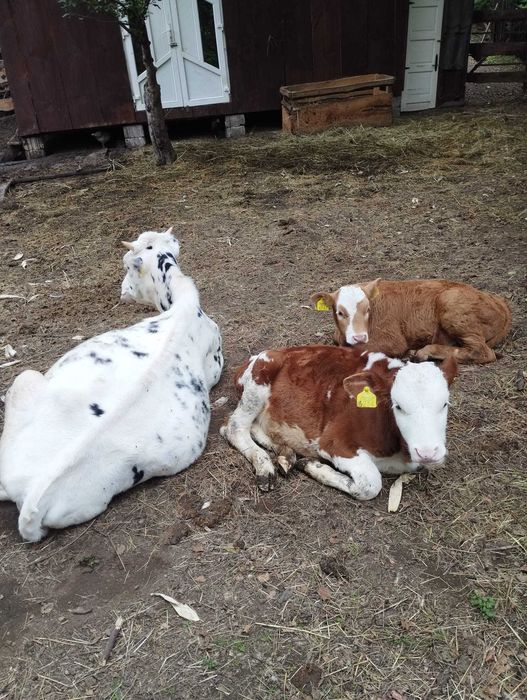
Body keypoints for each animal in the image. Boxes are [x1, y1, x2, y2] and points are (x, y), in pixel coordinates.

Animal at [220, 346, 457, 498]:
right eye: (398, 405)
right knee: (233, 427)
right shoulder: (333, 442)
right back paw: (266, 467)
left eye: (445, 403)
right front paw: (315, 467)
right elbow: (371, 484)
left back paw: (286, 455)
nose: (428, 452)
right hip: (258, 380)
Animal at [311, 278, 511, 364]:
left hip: (453, 306)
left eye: (367, 309)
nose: (359, 337)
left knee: (482, 351)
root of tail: (500, 303)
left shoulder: (392, 341)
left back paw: (423, 352)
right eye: (340, 312)